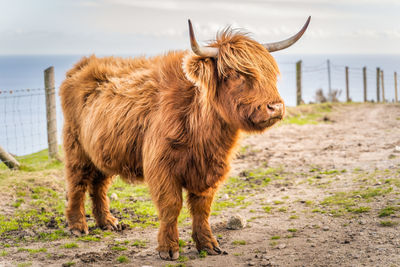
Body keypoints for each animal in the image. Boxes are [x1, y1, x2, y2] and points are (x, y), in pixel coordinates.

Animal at [60, 17, 310, 260]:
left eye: (270, 73)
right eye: (235, 74)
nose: (275, 107)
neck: (200, 128)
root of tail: (85, 64)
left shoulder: (209, 169)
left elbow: (202, 208)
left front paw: (208, 244)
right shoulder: (161, 167)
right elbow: (171, 205)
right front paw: (168, 248)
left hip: (103, 150)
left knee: (99, 184)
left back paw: (107, 222)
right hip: (76, 147)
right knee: (78, 182)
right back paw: (77, 225)